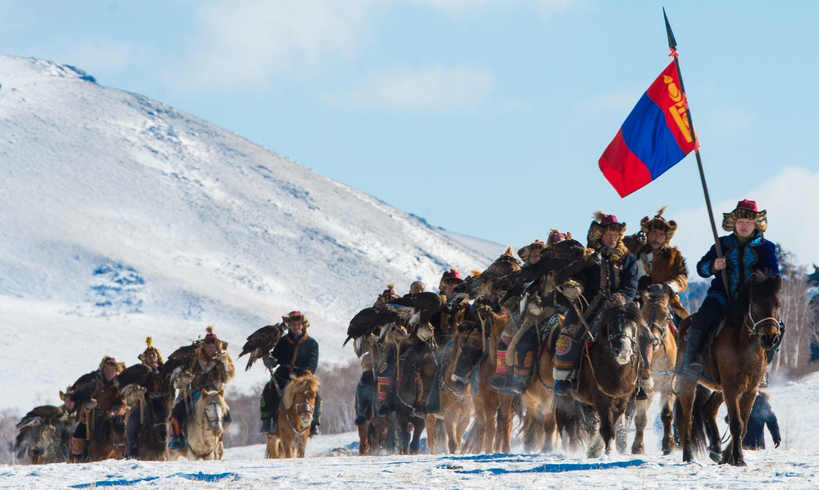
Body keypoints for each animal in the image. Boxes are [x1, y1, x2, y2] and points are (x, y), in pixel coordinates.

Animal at [636, 288, 680, 456]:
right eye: (642, 313)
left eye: (666, 315)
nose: (653, 340)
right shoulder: (644, 388)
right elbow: (641, 418)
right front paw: (638, 446)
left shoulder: (669, 385)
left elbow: (667, 415)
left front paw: (668, 444)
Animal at [676, 274, 784, 466]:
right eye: (754, 303)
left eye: (777, 304)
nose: (769, 338)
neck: (744, 346)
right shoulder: (731, 388)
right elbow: (737, 424)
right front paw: (738, 459)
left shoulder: (749, 390)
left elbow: (744, 424)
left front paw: (729, 457)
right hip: (689, 381)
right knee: (687, 417)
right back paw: (688, 456)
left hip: (721, 389)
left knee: (707, 410)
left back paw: (716, 449)